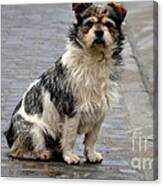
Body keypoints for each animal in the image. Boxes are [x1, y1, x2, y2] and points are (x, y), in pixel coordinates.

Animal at [4, 1, 127, 164]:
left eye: (108, 24)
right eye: (89, 24)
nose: (99, 32)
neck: (95, 59)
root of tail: (9, 134)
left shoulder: (100, 111)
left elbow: (92, 138)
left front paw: (91, 155)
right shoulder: (72, 109)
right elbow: (70, 137)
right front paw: (69, 156)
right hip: (34, 130)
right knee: (17, 151)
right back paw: (43, 154)